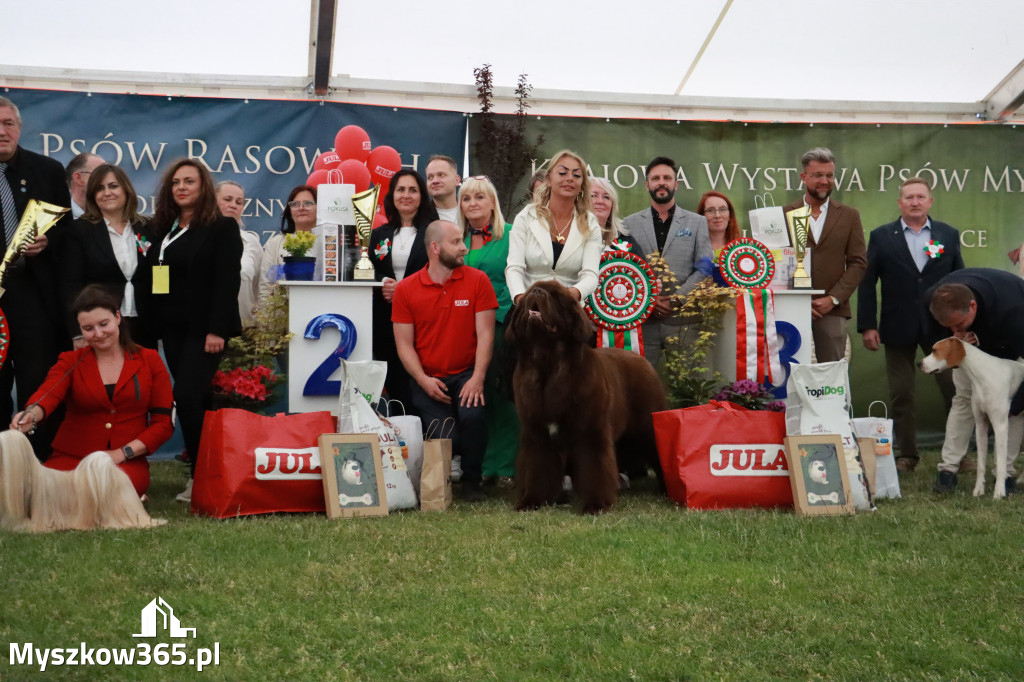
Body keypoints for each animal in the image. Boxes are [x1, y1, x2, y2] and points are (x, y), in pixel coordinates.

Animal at [507, 278, 667, 509]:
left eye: (555, 296)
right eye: (529, 293)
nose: (537, 291)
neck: (547, 362)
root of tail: (641, 360)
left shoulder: (590, 431)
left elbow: (594, 468)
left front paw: (595, 505)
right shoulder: (537, 434)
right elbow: (538, 468)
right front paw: (532, 501)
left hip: (647, 426)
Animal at [921, 337, 1024, 497]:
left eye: (935, 350)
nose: (918, 364)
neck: (982, 375)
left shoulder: (1000, 425)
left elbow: (1001, 464)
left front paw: (999, 492)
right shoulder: (981, 425)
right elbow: (981, 464)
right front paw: (978, 490)